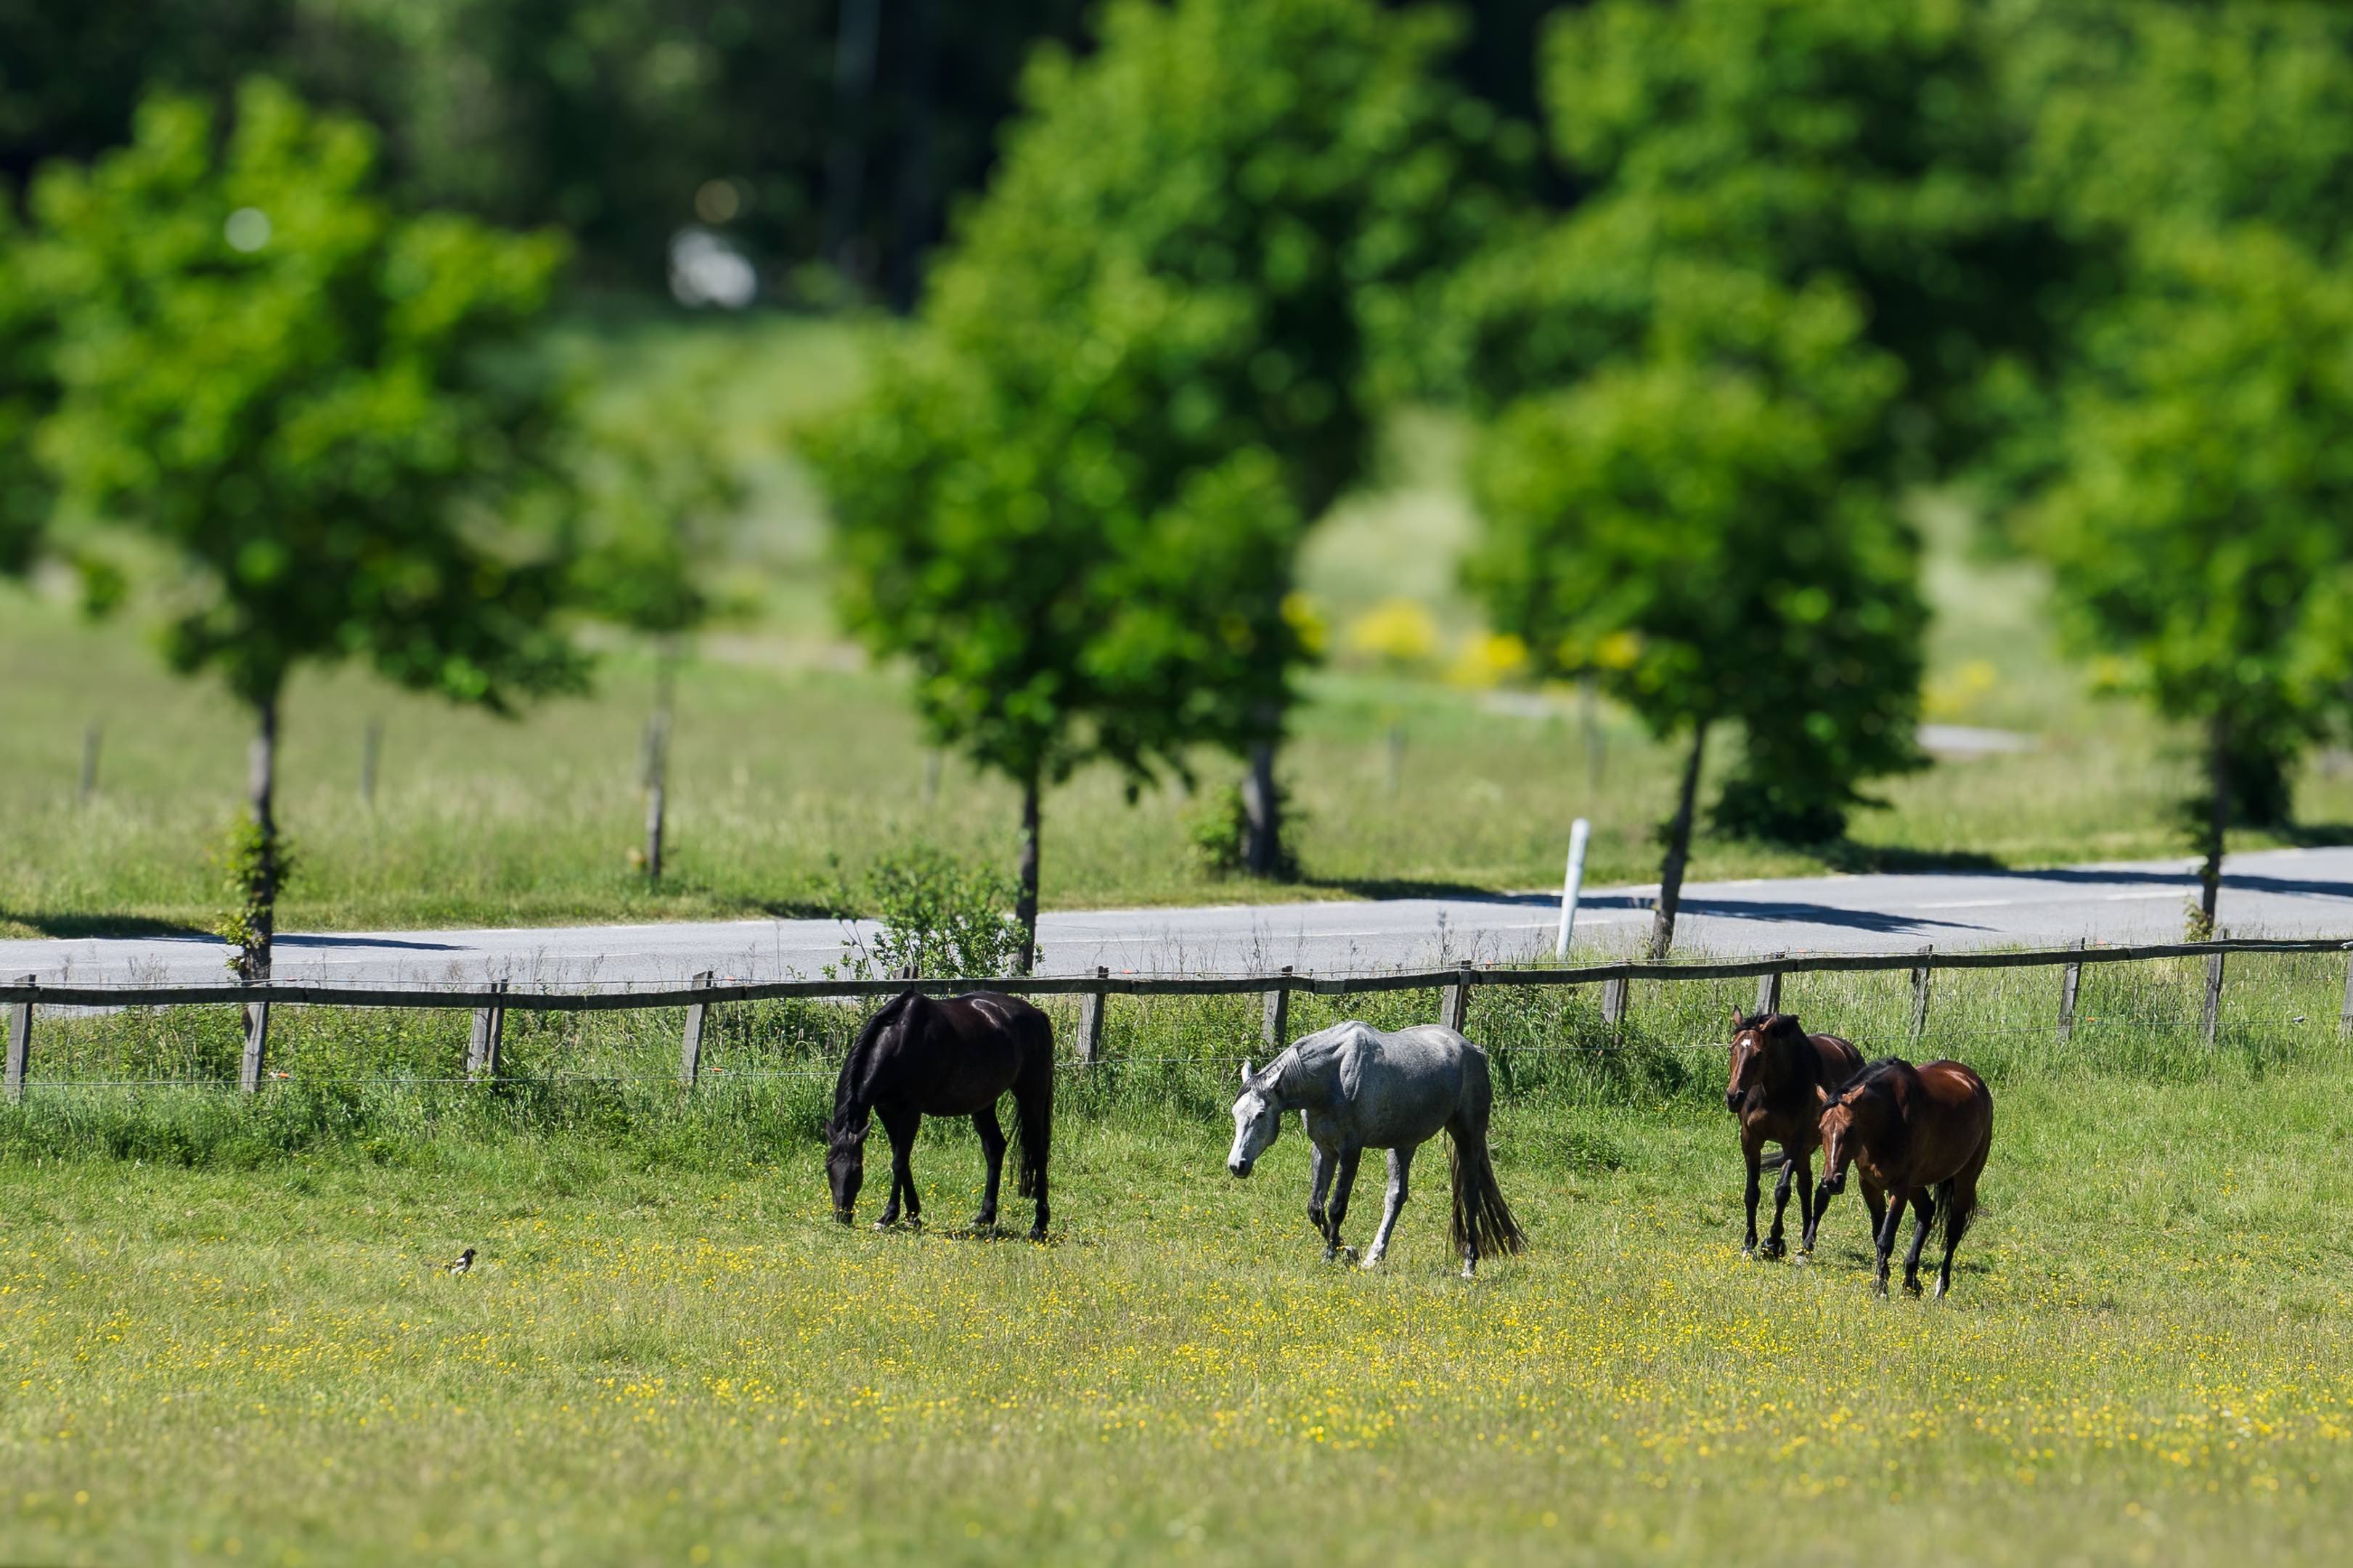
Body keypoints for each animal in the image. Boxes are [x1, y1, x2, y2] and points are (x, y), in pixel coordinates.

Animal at [823, 989, 1053, 1233]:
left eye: (858, 1169)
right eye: (828, 1167)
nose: (841, 1216)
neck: (898, 1041)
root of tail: (1037, 1015)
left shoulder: (911, 1111)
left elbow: (898, 1161)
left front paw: (888, 1216)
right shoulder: (885, 1110)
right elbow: (901, 1159)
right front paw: (912, 1215)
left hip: (1032, 1096)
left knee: (1039, 1153)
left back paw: (1039, 1226)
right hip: (983, 1104)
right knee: (994, 1148)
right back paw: (985, 1216)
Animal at [1223, 1021, 1534, 1281]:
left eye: (1261, 1114)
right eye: (1235, 1113)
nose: (1237, 1165)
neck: (1332, 1076)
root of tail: (1475, 1051)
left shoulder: (1350, 1150)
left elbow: (1336, 1207)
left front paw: (1332, 1255)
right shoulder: (1324, 1150)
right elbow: (1315, 1208)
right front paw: (1349, 1250)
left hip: (1467, 1136)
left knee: (1470, 1195)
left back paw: (1469, 1266)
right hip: (1403, 1145)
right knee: (1396, 1197)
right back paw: (1374, 1257)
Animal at [1722, 1012, 1863, 1262]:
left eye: (1759, 1053)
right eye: (1732, 1049)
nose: (1734, 1097)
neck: (1773, 1091)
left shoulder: (1794, 1142)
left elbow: (1782, 1191)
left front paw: (1773, 1242)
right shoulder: (1750, 1140)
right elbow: (1752, 1192)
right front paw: (1749, 1244)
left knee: (1821, 1193)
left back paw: (1807, 1248)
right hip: (1806, 1151)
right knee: (1805, 1186)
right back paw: (1805, 1240)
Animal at [1807, 1050, 1995, 1290]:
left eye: (1850, 1129)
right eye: (1822, 1129)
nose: (1832, 1181)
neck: (1888, 1119)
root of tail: (1974, 1082)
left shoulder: (1899, 1187)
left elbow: (1886, 1238)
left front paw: (1881, 1288)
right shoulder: (1870, 1184)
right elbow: (1877, 1233)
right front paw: (1882, 1279)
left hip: (1965, 1178)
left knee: (1954, 1230)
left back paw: (1941, 1287)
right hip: (1916, 1184)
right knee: (1926, 1211)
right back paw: (1910, 1282)